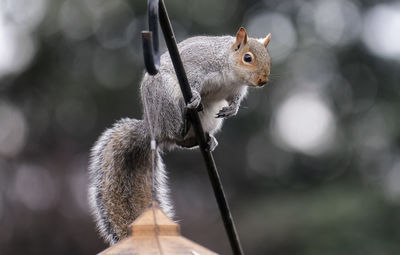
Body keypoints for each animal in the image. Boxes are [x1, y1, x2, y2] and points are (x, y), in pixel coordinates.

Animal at [88, 26, 272, 244]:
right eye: (247, 58)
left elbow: (234, 100)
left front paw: (232, 109)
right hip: (166, 96)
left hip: (209, 117)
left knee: (182, 142)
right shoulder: (196, 64)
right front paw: (196, 96)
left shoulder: (235, 89)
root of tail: (152, 129)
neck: (229, 69)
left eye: (268, 58)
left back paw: (207, 140)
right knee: (174, 132)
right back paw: (183, 124)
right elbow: (193, 82)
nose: (263, 80)